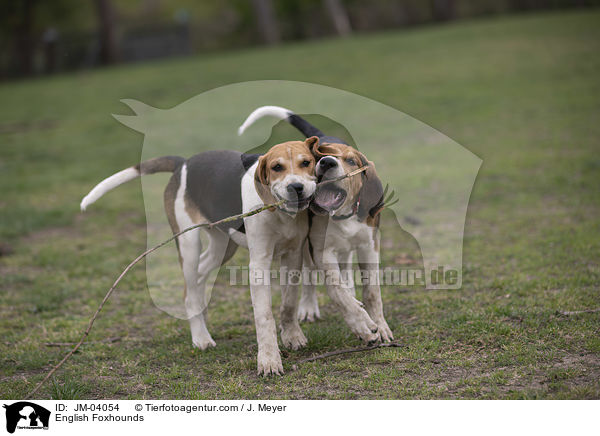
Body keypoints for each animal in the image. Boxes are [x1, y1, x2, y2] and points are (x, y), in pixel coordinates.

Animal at [83, 139, 324, 374]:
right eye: (276, 167)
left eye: (306, 162)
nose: (296, 187)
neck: (281, 214)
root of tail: (183, 163)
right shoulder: (259, 264)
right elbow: (264, 317)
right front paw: (269, 361)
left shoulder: (293, 256)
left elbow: (289, 303)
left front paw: (293, 337)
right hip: (189, 243)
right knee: (189, 291)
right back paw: (200, 337)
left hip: (223, 246)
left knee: (200, 276)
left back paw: (202, 316)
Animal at [239, 106, 394, 344]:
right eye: (319, 156)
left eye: (351, 161)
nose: (327, 162)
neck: (341, 216)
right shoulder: (322, 250)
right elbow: (335, 289)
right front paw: (360, 322)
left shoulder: (370, 246)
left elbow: (372, 292)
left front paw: (381, 325)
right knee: (311, 273)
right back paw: (310, 306)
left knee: (345, 265)